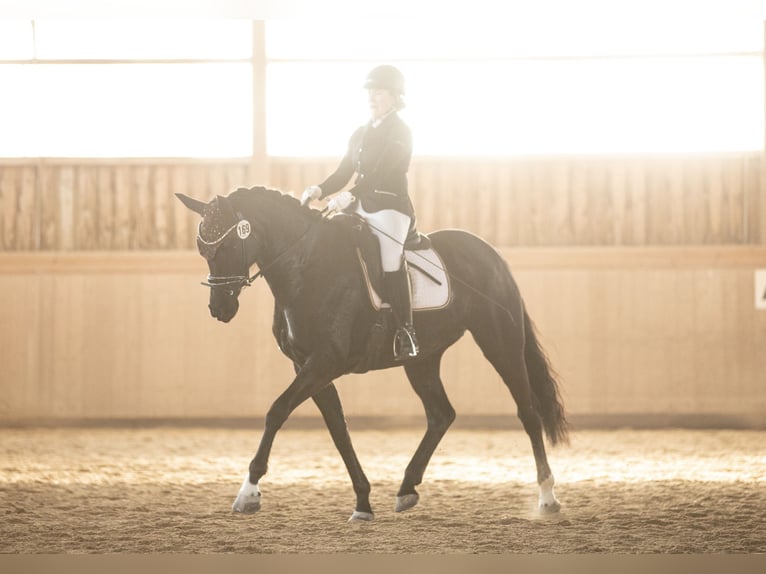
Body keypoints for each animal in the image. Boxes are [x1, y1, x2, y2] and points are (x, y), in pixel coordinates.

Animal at [176, 185, 568, 522]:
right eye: (203, 250)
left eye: (227, 246)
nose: (220, 309)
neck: (307, 266)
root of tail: (490, 252)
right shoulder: (307, 366)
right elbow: (339, 430)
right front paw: (363, 502)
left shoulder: (325, 362)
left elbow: (277, 411)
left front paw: (248, 492)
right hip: (422, 359)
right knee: (441, 414)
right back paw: (407, 488)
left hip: (500, 342)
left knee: (527, 412)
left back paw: (547, 497)